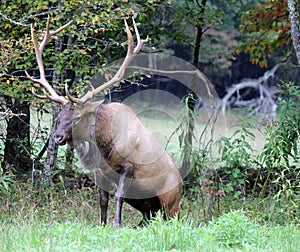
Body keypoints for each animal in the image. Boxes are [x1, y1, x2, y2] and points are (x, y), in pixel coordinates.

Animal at [25, 15, 183, 228]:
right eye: (59, 116)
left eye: (77, 117)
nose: (57, 137)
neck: (104, 146)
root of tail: (182, 183)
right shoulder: (100, 171)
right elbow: (103, 199)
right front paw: (102, 224)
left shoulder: (128, 167)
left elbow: (118, 196)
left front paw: (117, 225)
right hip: (146, 206)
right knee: (147, 218)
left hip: (171, 202)